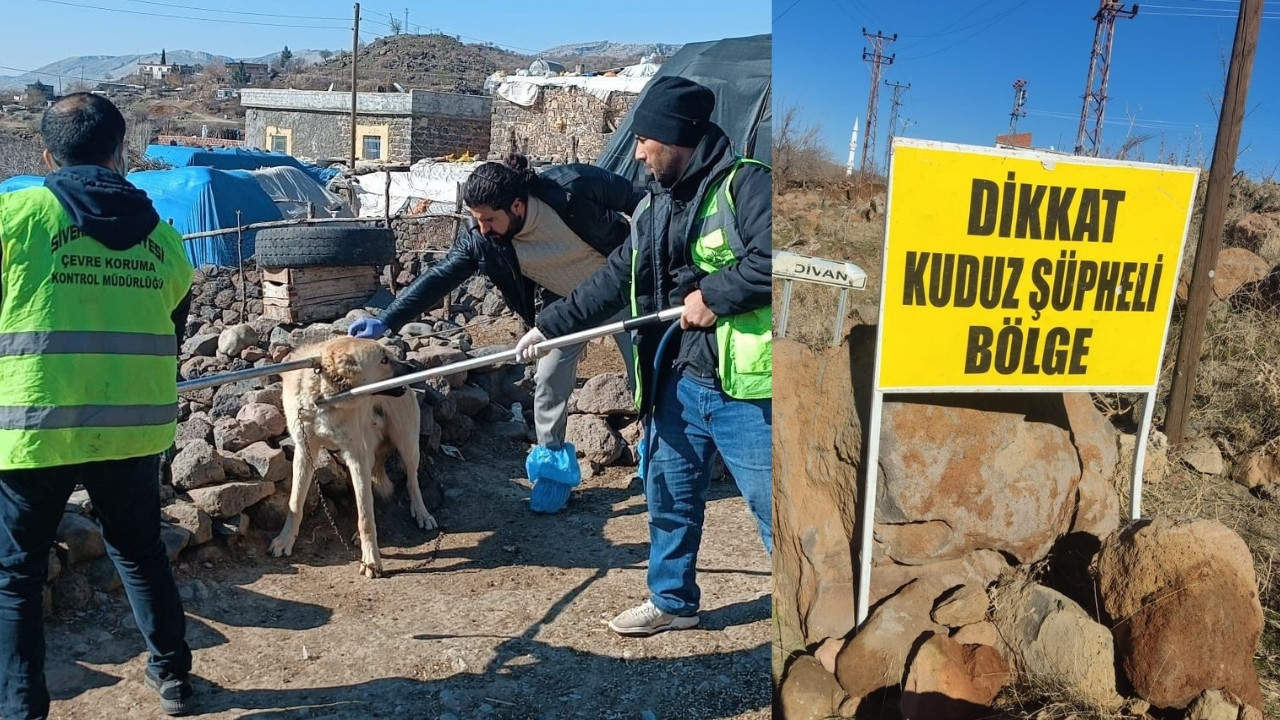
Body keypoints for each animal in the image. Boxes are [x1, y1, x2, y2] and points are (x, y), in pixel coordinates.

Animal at [267, 333, 437, 573]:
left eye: (389, 356)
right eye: (383, 360)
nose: (414, 367)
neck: (324, 397)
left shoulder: (356, 455)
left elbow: (365, 515)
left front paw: (371, 559)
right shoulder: (304, 451)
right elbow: (295, 502)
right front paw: (285, 540)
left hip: (407, 444)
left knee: (411, 481)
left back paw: (421, 513)